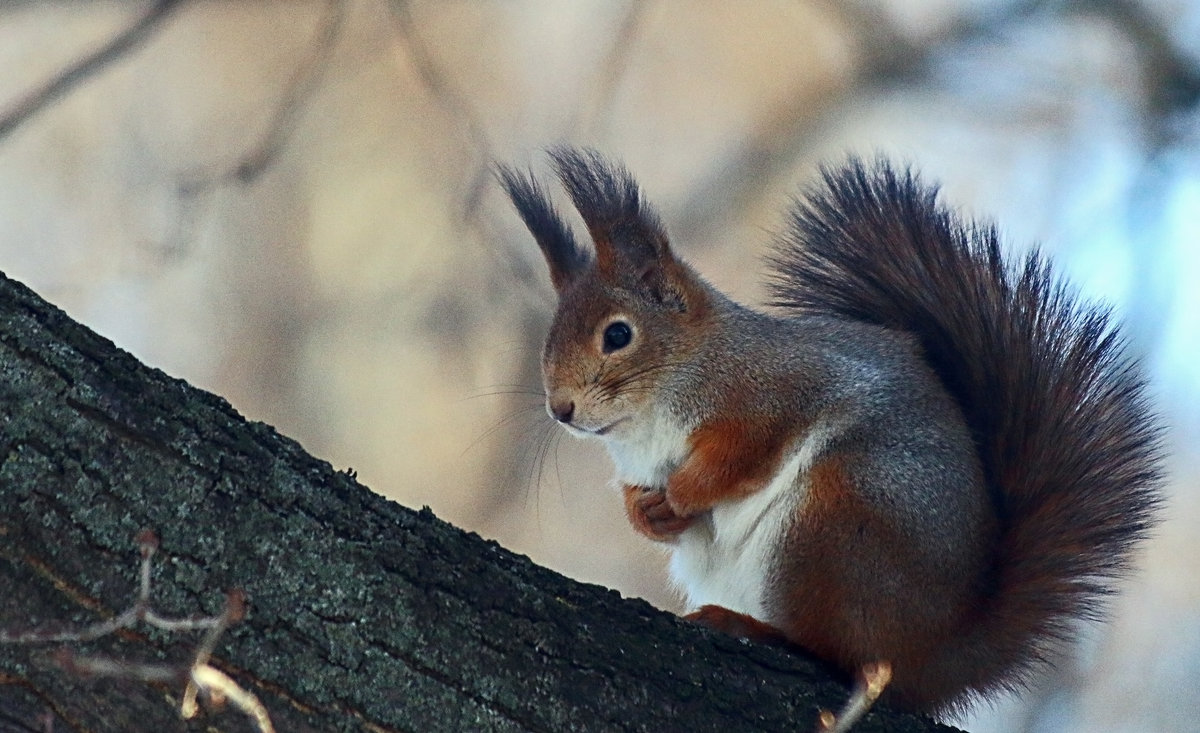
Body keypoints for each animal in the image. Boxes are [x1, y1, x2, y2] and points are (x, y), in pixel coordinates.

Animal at [492, 149, 1156, 724]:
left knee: (835, 652)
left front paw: (683, 494)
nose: (561, 409)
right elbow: (643, 501)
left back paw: (754, 628)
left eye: (618, 334)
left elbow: (740, 458)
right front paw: (649, 515)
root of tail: (942, 650)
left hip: (831, 522)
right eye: (552, 334)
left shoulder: (775, 397)